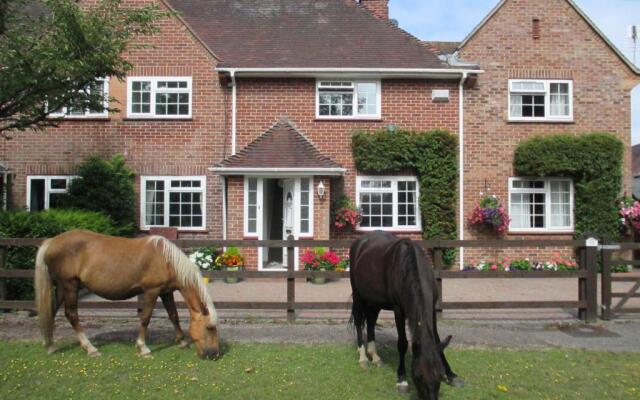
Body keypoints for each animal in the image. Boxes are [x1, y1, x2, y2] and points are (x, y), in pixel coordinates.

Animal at [34, 231, 220, 360]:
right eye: (209, 328)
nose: (214, 354)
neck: (166, 260)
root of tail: (51, 241)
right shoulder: (151, 291)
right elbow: (145, 317)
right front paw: (143, 348)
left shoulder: (166, 292)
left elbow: (173, 315)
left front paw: (181, 341)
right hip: (70, 286)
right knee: (72, 315)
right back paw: (90, 348)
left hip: (61, 288)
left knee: (51, 312)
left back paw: (49, 345)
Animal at [350, 231, 460, 400]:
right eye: (418, 376)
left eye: (440, 375)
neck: (409, 266)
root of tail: (359, 242)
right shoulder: (399, 310)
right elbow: (402, 343)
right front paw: (402, 379)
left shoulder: (432, 309)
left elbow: (437, 340)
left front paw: (451, 375)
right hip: (358, 296)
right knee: (358, 320)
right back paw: (363, 358)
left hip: (375, 301)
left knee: (371, 322)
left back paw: (375, 357)